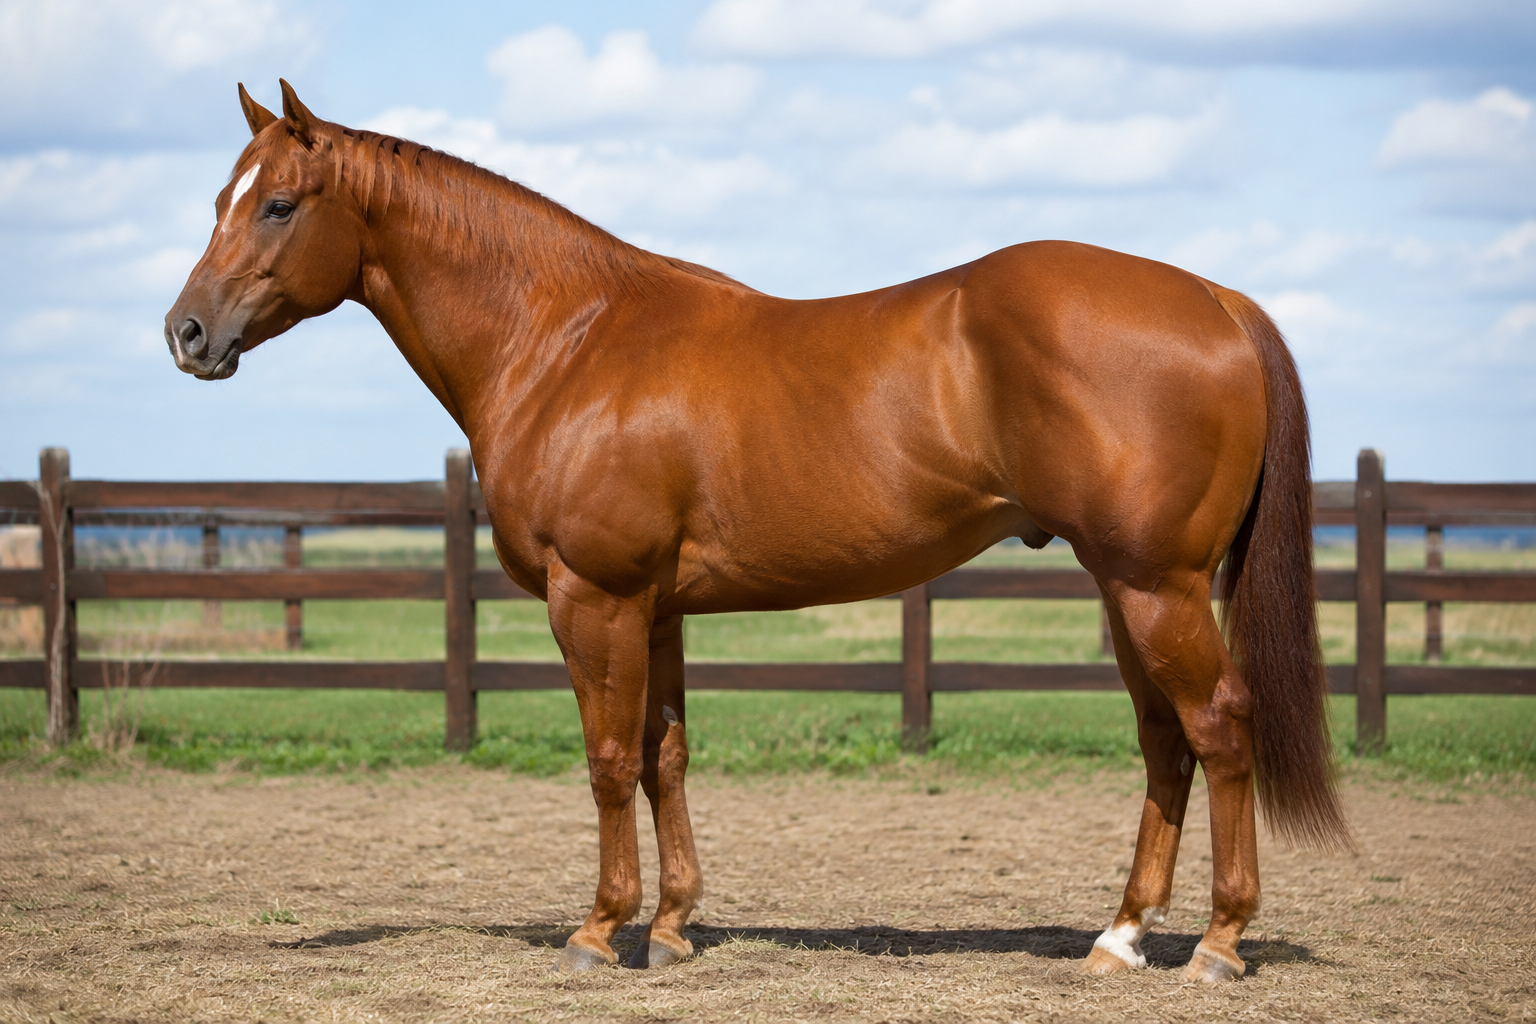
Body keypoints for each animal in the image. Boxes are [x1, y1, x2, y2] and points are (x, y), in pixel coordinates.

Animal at [165, 80, 1349, 983]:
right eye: (220, 197)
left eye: (278, 204)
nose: (187, 333)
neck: (568, 340)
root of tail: (1218, 299)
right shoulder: (656, 608)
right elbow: (666, 756)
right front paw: (674, 926)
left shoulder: (593, 596)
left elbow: (607, 759)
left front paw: (600, 929)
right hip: (1130, 588)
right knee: (1165, 743)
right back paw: (1120, 937)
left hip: (1156, 585)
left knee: (1219, 729)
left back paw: (1219, 943)